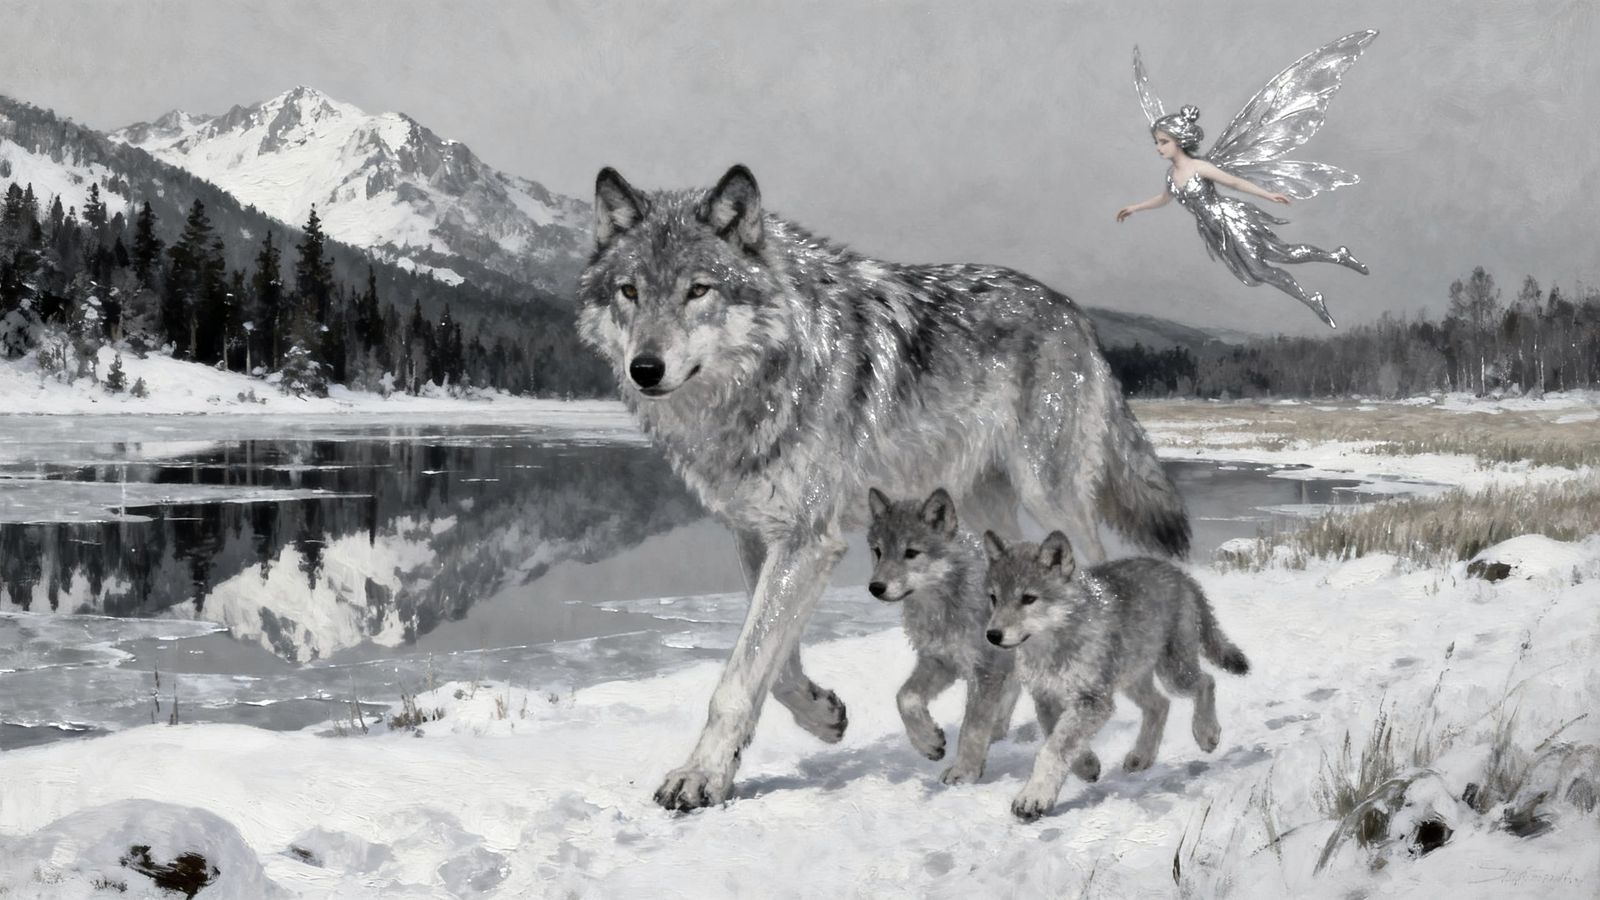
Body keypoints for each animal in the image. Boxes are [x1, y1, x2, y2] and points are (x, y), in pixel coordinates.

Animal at [865, 487, 1021, 784]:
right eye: (878, 552)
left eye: (911, 552)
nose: (875, 587)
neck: (942, 612)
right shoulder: (940, 662)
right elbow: (905, 697)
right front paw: (929, 742)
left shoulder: (986, 670)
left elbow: (971, 728)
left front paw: (964, 773)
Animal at [982, 530, 1249, 822]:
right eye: (994, 598)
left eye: (1028, 599)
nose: (992, 635)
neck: (1051, 652)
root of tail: (1181, 574)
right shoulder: (1047, 700)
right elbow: (1058, 738)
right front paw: (1087, 765)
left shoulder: (1094, 701)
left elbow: (1053, 749)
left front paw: (1033, 797)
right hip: (1132, 680)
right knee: (1160, 705)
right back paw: (1142, 757)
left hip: (1174, 675)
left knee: (1205, 682)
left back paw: (1206, 733)